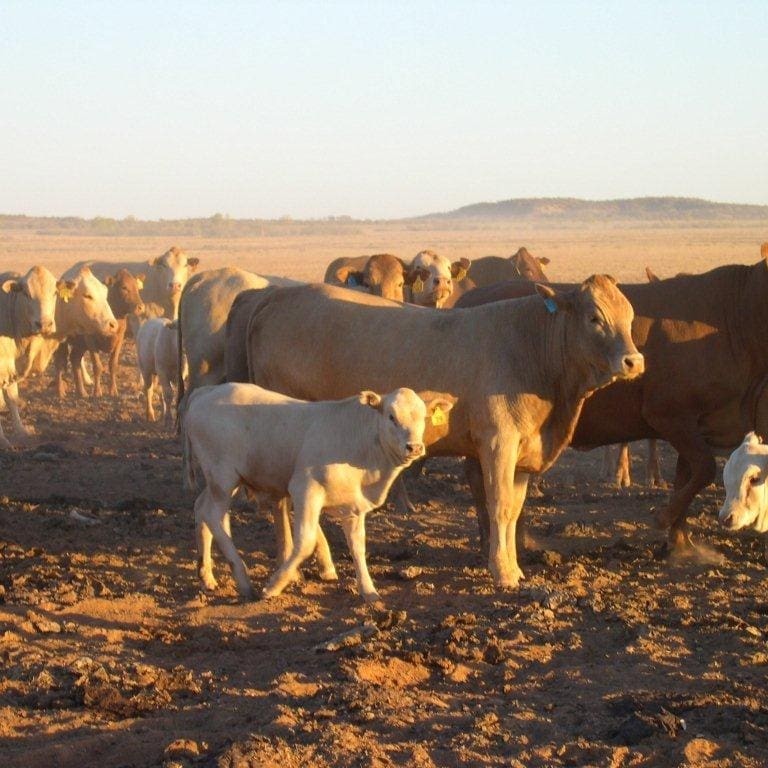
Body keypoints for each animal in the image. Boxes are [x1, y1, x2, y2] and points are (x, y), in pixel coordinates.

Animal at [183, 380, 452, 604]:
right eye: (391, 416)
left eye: (423, 417)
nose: (414, 447)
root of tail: (205, 392)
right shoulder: (306, 489)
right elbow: (305, 542)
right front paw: (273, 586)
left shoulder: (354, 506)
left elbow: (357, 546)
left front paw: (369, 591)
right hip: (222, 475)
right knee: (213, 515)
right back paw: (243, 579)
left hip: (226, 479)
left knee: (202, 508)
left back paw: (207, 575)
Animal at [243, 280, 640, 584]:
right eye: (594, 317)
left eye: (630, 317)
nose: (634, 361)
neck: (533, 348)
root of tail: (276, 299)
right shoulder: (497, 444)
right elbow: (497, 507)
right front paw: (502, 572)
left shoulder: (523, 450)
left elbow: (513, 512)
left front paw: (513, 567)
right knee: (280, 499)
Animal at [456, 246, 768, 552]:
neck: (734, 316)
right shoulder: (668, 414)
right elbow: (704, 468)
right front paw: (664, 518)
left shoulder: (697, 422)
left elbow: (686, 475)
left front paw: (681, 543)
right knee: (483, 478)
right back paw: (493, 541)